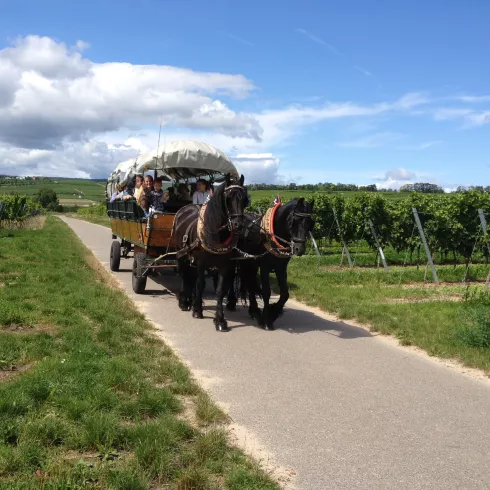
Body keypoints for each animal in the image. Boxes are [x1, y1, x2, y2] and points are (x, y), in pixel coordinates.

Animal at [172, 174, 249, 332]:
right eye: (228, 198)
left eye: (245, 199)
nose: (238, 225)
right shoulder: (201, 263)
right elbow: (200, 284)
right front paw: (197, 310)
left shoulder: (225, 265)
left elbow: (220, 290)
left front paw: (220, 320)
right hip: (181, 254)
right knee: (184, 275)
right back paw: (184, 301)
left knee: (190, 276)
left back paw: (190, 299)